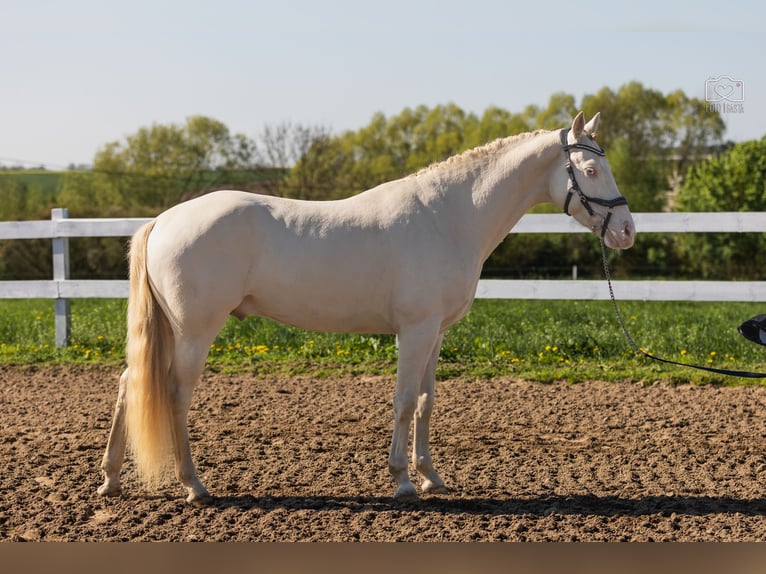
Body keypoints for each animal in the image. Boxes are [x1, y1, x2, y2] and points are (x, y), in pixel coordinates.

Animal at [96, 113, 636, 508]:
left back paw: (111, 479)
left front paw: (431, 477)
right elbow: (403, 401)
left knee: (129, 383)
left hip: (171, 331)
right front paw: (401, 480)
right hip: (195, 331)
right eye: (590, 170)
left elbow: (426, 401)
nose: (627, 231)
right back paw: (193, 485)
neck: (448, 217)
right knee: (174, 394)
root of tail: (163, 220)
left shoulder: (435, 333)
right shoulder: (414, 330)